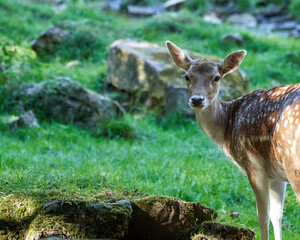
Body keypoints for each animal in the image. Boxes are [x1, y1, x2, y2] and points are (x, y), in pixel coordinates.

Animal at [166, 40, 300, 240]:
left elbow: (263, 217)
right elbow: (277, 216)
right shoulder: (276, 173)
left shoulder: (253, 165)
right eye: (187, 76)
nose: (197, 99)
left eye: (216, 78)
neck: (227, 129)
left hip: (293, 162)